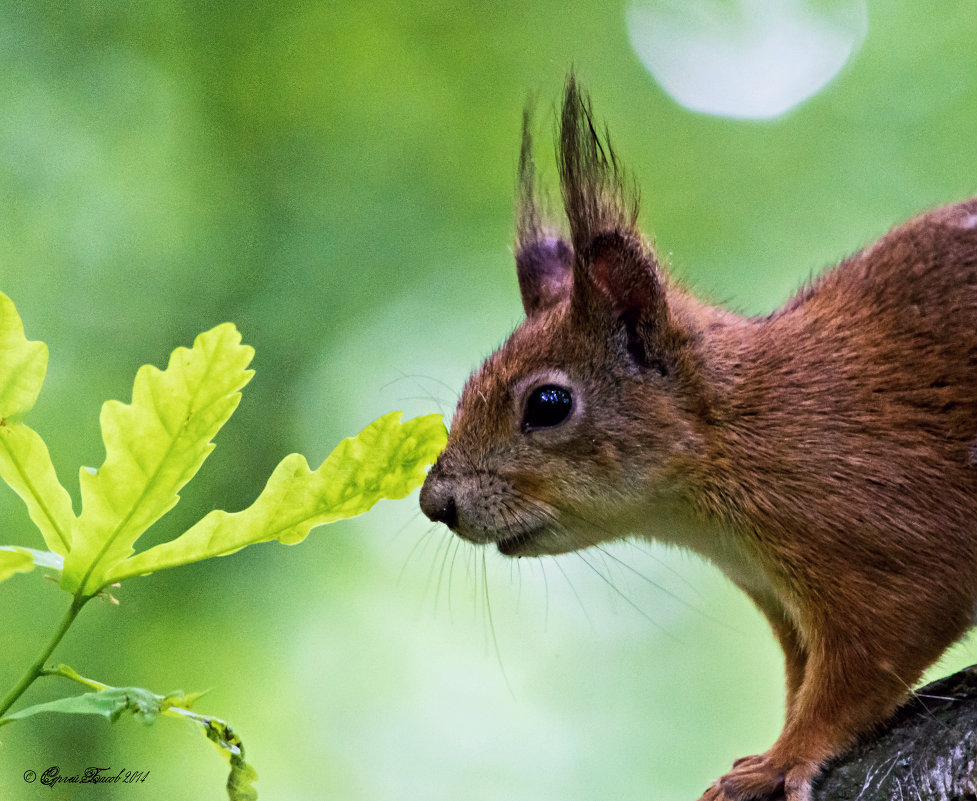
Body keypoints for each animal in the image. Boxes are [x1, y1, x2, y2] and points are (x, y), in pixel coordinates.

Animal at [418, 76, 976, 800]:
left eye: (547, 403)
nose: (436, 503)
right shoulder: (779, 599)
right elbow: (802, 674)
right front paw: (766, 751)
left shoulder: (886, 534)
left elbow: (862, 666)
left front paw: (785, 757)